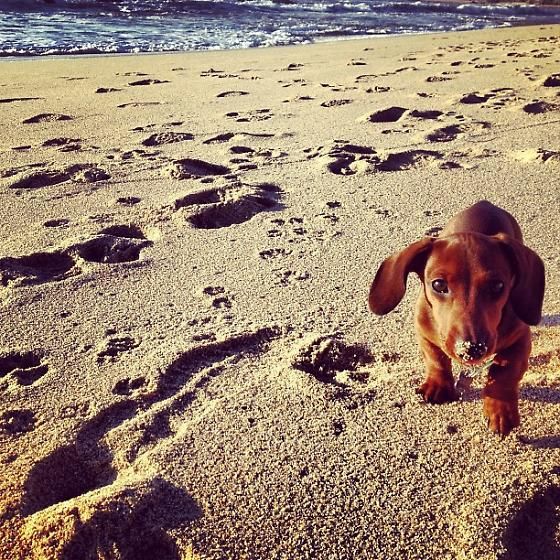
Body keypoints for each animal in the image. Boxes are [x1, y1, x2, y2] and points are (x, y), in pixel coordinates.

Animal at [368, 201, 545, 435]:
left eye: (498, 286)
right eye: (438, 284)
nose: (472, 349)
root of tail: (485, 203)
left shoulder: (521, 338)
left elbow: (504, 372)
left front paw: (500, 412)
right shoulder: (424, 331)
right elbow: (436, 359)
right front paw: (438, 385)